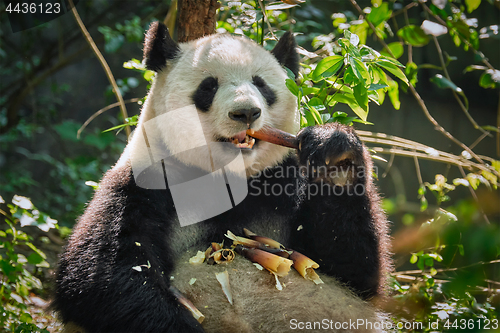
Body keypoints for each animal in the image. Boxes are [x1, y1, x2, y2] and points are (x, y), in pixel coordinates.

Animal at [53, 22, 390, 330]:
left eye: (262, 85)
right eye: (208, 86)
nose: (246, 113)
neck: (226, 176)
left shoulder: (282, 181)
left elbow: (352, 270)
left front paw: (335, 155)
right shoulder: (144, 185)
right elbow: (105, 276)